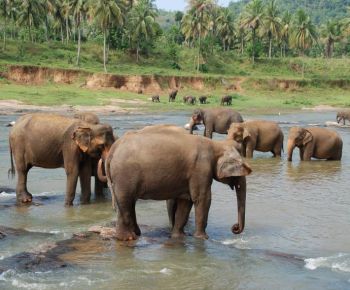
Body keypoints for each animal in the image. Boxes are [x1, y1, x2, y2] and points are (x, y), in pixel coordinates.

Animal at [98, 124, 252, 240]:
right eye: (238, 175)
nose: (235, 228)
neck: (216, 145)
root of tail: (114, 149)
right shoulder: (201, 169)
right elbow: (202, 199)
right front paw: (203, 238)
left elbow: (186, 202)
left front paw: (179, 236)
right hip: (125, 174)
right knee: (126, 200)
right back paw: (128, 238)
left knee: (126, 202)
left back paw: (133, 235)